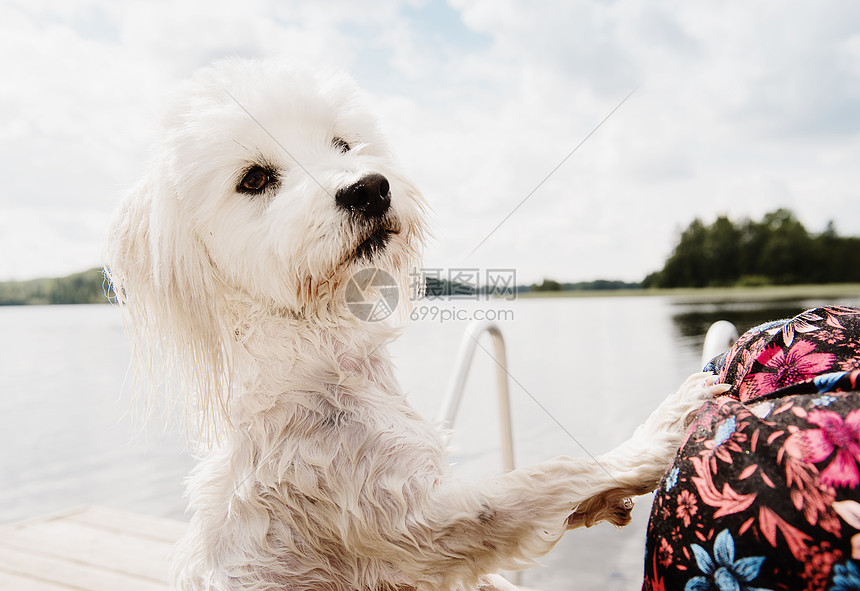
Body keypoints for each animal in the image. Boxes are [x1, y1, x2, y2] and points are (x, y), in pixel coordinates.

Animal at [106, 59, 724, 591]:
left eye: (342, 144)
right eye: (254, 179)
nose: (369, 188)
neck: (315, 351)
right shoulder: (415, 521)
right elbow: (548, 475)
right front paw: (657, 435)